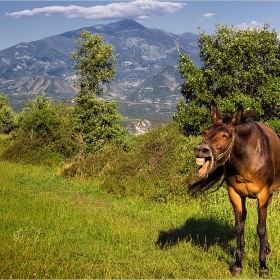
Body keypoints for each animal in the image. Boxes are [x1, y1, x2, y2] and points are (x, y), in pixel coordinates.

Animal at [194, 100, 280, 276]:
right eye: (205, 132)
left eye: (225, 136)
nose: (200, 150)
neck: (248, 158)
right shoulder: (234, 194)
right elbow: (239, 227)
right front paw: (238, 263)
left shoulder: (263, 195)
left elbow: (261, 228)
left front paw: (263, 266)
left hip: (270, 194)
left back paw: (266, 249)